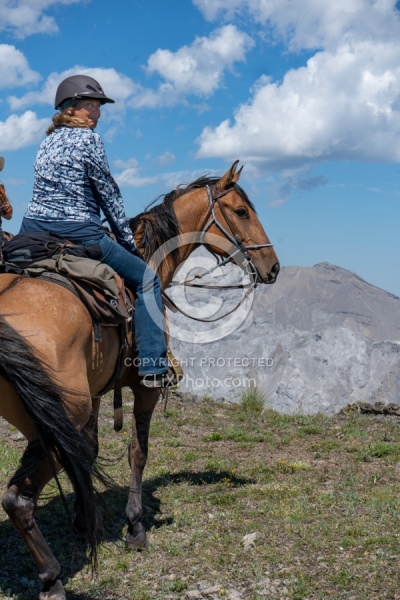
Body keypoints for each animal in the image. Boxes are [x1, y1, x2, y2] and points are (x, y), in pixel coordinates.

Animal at [0, 161, 278, 600]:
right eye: (241, 211)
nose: (273, 267)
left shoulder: (97, 394)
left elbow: (91, 451)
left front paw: (83, 520)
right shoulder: (143, 389)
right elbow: (137, 452)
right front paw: (134, 526)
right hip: (56, 424)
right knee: (17, 499)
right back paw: (52, 578)